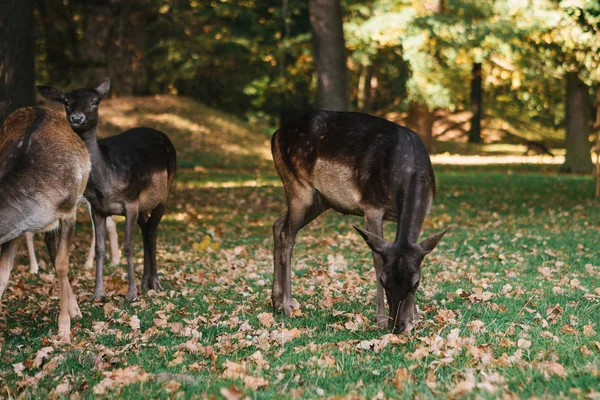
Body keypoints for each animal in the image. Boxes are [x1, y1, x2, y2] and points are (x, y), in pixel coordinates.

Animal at [0, 104, 90, 342]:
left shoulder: (68, 211)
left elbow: (62, 264)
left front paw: (64, 329)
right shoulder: (16, 230)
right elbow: (3, 274)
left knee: (57, 257)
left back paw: (75, 311)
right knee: (51, 249)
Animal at [37, 79, 176, 302]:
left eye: (95, 101)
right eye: (66, 102)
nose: (77, 118)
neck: (106, 183)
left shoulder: (130, 201)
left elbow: (128, 245)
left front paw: (131, 294)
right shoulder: (97, 208)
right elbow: (100, 248)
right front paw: (97, 294)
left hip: (165, 191)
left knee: (152, 229)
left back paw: (154, 282)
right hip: (142, 205)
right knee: (146, 228)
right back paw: (146, 281)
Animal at [270, 109, 448, 332]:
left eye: (416, 282)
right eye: (383, 281)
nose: (396, 326)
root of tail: (275, 135)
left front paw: (415, 316)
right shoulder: (372, 205)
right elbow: (377, 259)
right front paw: (380, 319)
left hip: (320, 200)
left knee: (277, 224)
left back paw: (275, 301)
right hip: (298, 187)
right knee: (287, 233)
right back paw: (288, 305)